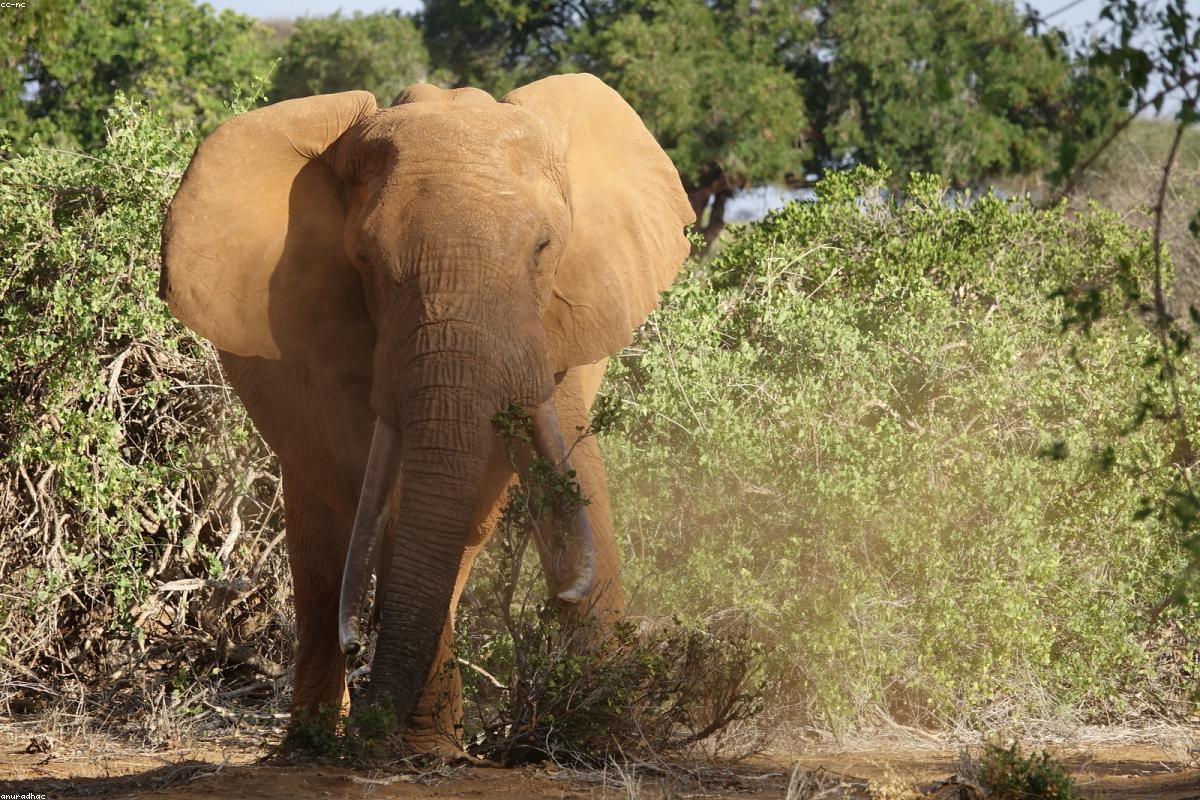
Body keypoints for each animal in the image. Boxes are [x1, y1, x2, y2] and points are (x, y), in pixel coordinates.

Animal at [159, 74, 694, 755]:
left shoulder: (560, 321)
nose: (360, 647)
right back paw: (316, 743)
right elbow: (387, 496)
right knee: (325, 535)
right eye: (365, 260)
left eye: (544, 248)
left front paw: (602, 735)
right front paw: (411, 745)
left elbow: (568, 460)